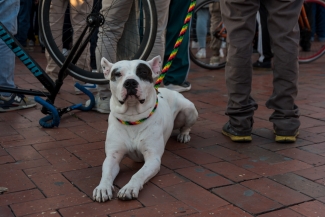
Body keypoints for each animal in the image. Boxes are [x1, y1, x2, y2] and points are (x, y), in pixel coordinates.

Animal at [92, 55, 197, 202]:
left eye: (142, 72)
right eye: (117, 74)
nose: (130, 82)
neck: (132, 117)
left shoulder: (153, 159)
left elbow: (139, 174)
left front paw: (129, 188)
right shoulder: (112, 156)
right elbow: (106, 173)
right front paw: (102, 188)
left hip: (189, 109)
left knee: (186, 126)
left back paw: (184, 135)